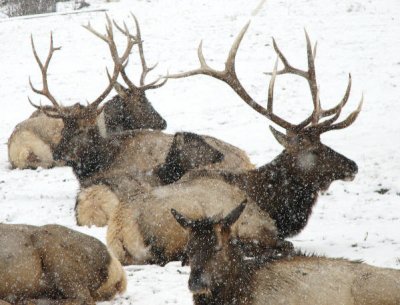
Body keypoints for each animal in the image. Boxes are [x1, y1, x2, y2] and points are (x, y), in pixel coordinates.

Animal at [7, 14, 167, 171]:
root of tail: (15, 152)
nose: (163, 122)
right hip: (41, 149)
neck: (111, 123)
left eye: (147, 100)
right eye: (140, 103)